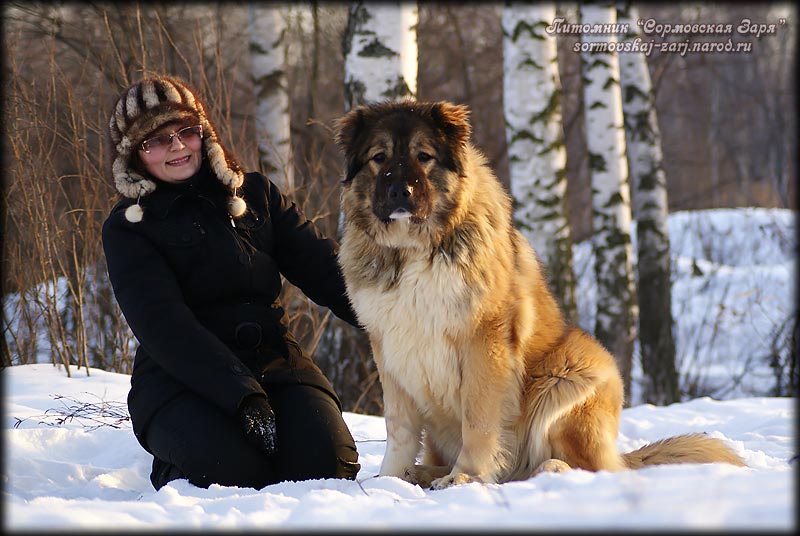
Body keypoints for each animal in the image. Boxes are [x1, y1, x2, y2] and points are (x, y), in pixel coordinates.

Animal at [334, 100, 746, 489]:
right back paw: (422, 471)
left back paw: (547, 469)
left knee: (592, 467)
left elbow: (478, 419)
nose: (399, 191)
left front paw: (465, 476)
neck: (412, 250)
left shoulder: (485, 342)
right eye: (379, 157)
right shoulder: (390, 347)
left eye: (424, 156)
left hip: (570, 375)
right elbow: (399, 427)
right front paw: (389, 478)